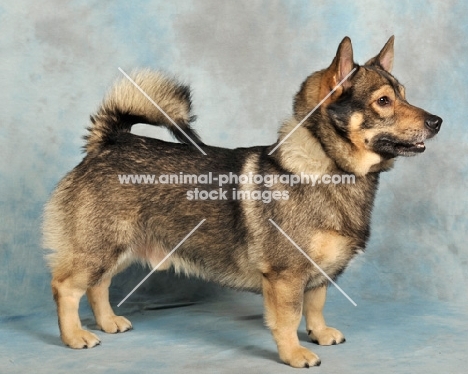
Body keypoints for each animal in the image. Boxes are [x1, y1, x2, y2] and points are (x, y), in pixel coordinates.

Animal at [42, 36, 440, 366]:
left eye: (405, 94)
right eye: (383, 101)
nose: (437, 121)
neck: (328, 166)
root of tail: (109, 142)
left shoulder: (318, 273)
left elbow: (316, 305)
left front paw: (320, 333)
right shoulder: (286, 276)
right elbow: (289, 317)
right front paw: (294, 354)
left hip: (118, 249)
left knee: (98, 285)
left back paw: (108, 322)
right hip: (97, 248)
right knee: (67, 288)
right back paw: (75, 336)